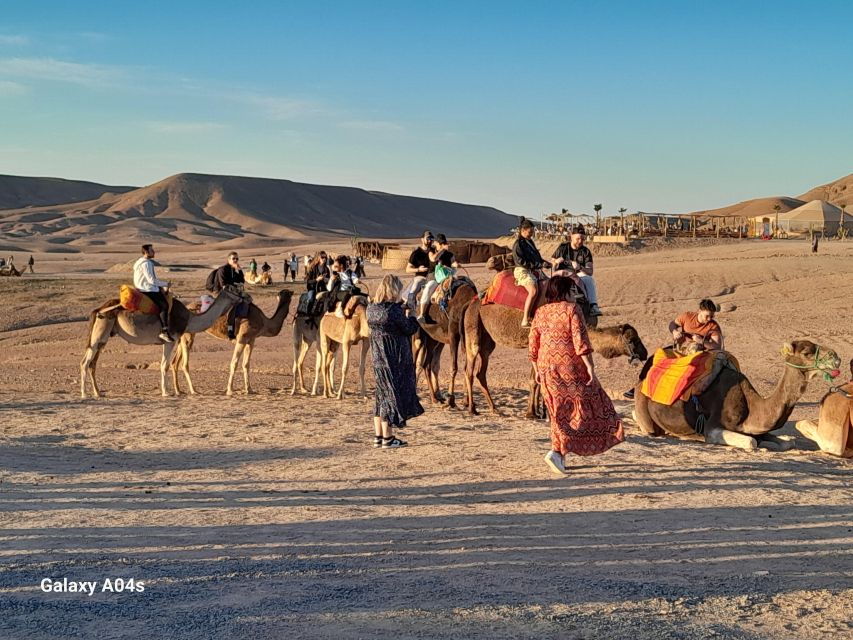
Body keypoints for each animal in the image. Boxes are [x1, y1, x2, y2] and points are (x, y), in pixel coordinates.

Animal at [80, 286, 244, 398]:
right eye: (235, 289)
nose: (245, 297)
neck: (190, 318)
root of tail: (98, 309)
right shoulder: (170, 340)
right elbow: (164, 365)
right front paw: (166, 392)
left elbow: (165, 364)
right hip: (99, 333)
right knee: (85, 362)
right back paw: (84, 394)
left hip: (104, 338)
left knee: (92, 363)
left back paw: (98, 393)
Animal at [461, 296, 648, 416]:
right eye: (632, 340)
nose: (645, 353)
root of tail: (470, 303)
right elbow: (535, 380)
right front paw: (532, 413)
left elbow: (538, 380)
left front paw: (538, 411)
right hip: (473, 329)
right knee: (470, 369)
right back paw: (472, 408)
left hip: (487, 341)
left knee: (480, 372)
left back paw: (494, 408)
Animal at [633, 339, 842, 452]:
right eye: (806, 352)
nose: (836, 357)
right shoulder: (712, 428)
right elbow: (751, 442)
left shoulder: (758, 429)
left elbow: (788, 442)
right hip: (646, 413)